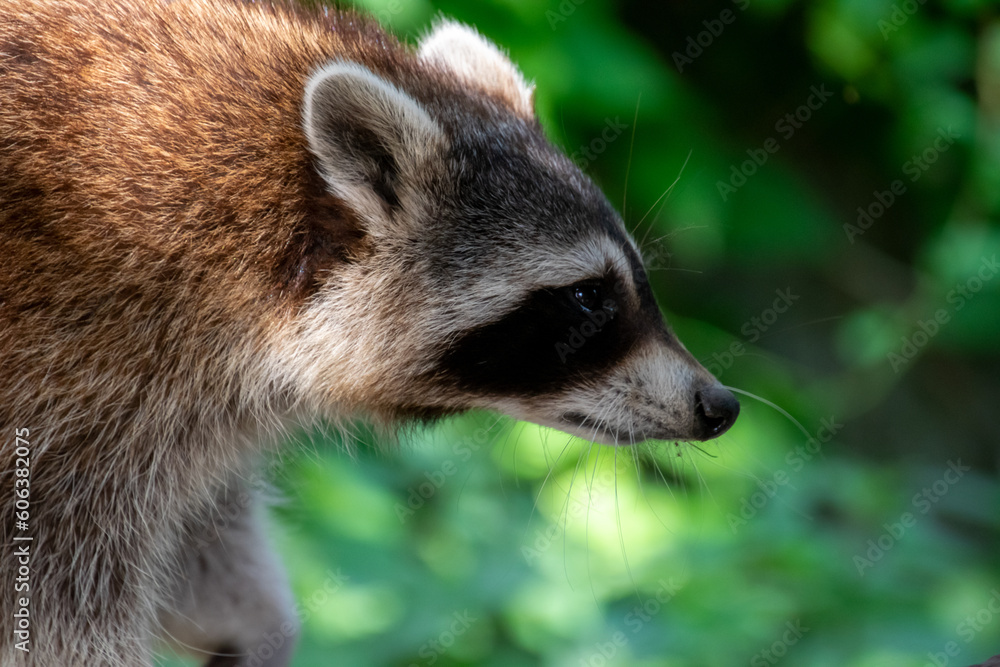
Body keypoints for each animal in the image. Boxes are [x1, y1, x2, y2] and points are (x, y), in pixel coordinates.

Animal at [0, 1, 739, 665]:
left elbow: (202, 523)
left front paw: (250, 620)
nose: (721, 404)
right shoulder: (80, 382)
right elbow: (59, 601)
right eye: (587, 297)